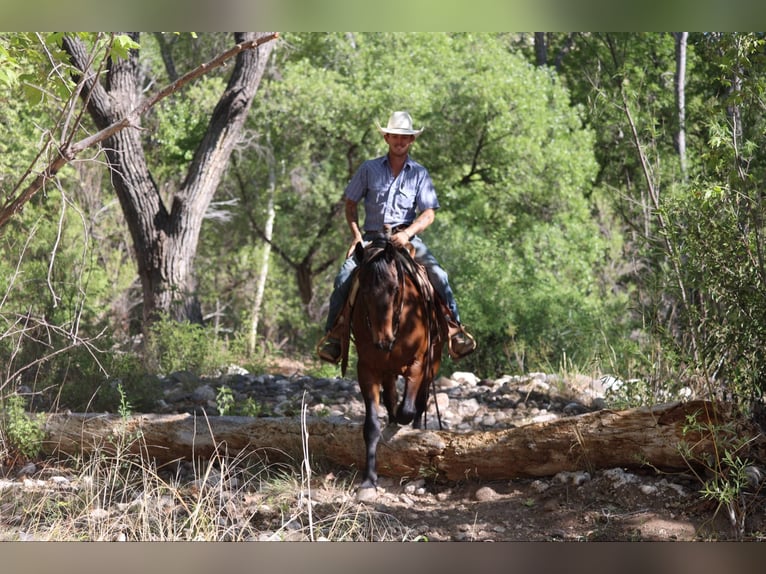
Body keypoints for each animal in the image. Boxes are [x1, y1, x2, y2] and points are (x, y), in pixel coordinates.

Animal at [348, 233, 446, 492]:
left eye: (394, 288)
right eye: (364, 289)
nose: (383, 341)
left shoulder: (419, 363)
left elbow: (408, 409)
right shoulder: (368, 369)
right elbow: (372, 425)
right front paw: (369, 479)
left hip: (432, 364)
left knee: (419, 402)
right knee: (391, 396)